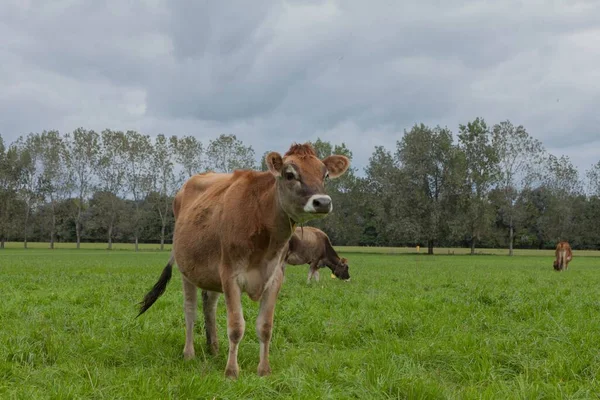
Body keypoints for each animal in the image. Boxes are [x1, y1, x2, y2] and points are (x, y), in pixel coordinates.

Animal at [135, 143, 352, 378]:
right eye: (289, 174)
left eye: (325, 175)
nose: (323, 202)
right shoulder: (230, 275)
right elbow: (236, 326)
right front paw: (231, 371)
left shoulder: (274, 278)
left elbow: (265, 327)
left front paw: (264, 370)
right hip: (188, 271)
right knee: (190, 309)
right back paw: (189, 353)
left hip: (211, 273)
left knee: (209, 305)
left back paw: (213, 348)